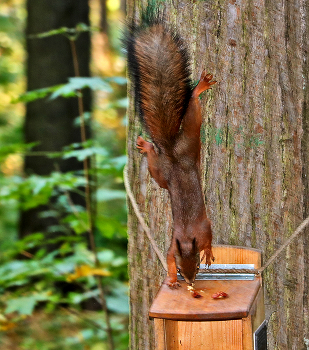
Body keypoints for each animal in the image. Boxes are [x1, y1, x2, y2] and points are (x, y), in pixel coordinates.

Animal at [125, 13, 214, 288]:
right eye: (184, 270)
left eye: (197, 266)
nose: (190, 282)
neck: (186, 237)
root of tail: (173, 153)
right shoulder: (173, 245)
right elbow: (167, 257)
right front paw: (172, 278)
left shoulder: (202, 229)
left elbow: (209, 237)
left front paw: (208, 252)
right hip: (173, 163)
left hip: (182, 149)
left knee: (191, 113)